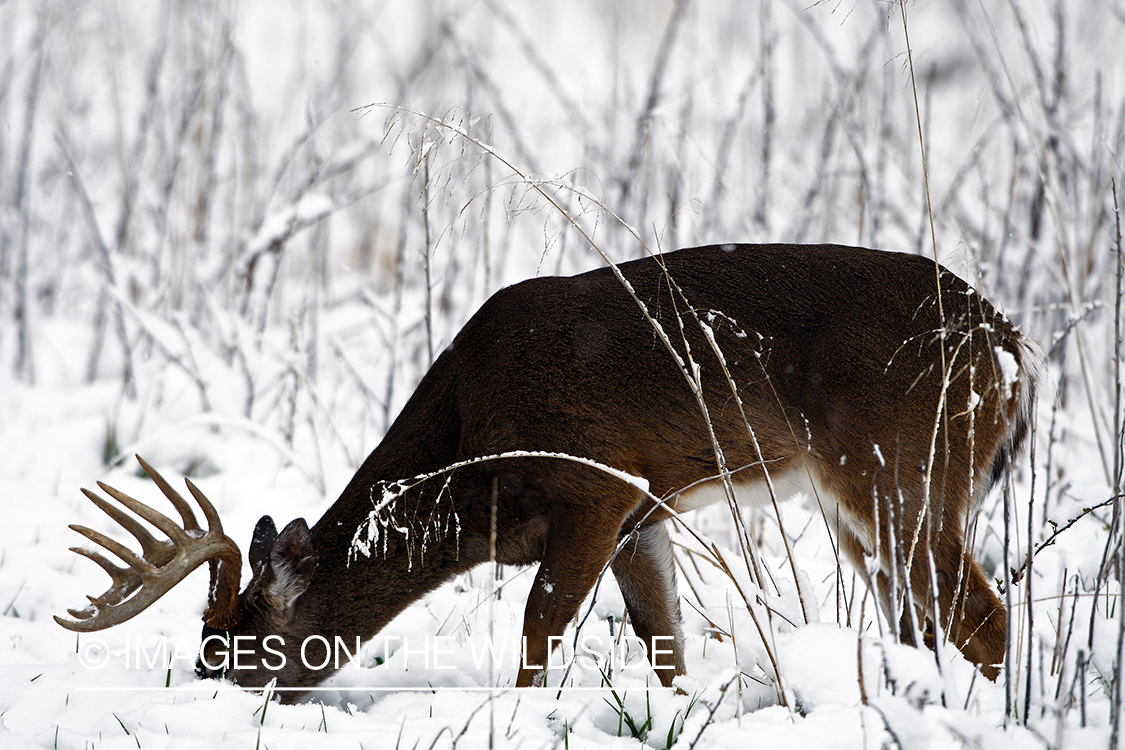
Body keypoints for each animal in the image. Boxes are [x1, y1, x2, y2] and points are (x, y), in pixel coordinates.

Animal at [54, 245, 1035, 697]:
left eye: (242, 650)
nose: (207, 700)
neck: (472, 470)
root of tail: (1002, 337)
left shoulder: (597, 484)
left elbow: (538, 628)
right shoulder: (647, 513)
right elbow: (663, 641)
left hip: (905, 470)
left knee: (984, 619)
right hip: (863, 508)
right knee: (921, 623)